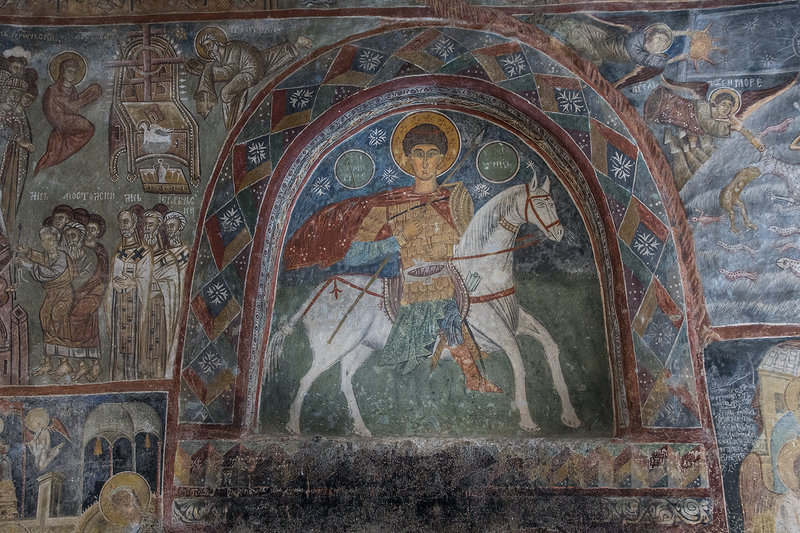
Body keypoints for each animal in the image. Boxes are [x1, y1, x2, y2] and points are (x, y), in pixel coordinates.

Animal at [266, 173, 582, 437]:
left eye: (553, 201)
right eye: (541, 203)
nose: (558, 233)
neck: (483, 272)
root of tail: (319, 292)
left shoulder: (517, 322)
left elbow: (550, 345)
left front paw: (569, 415)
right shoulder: (494, 330)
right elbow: (519, 362)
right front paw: (526, 420)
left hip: (361, 348)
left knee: (344, 380)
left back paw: (361, 428)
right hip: (333, 347)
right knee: (306, 379)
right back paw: (293, 427)